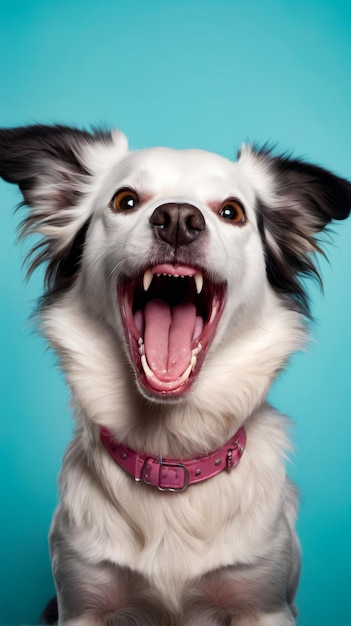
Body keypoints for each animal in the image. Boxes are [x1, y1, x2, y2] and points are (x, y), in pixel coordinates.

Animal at [1, 123, 350, 624]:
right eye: (125, 200)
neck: (171, 448)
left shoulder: (263, 600)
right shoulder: (82, 598)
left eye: (232, 211)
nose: (179, 219)